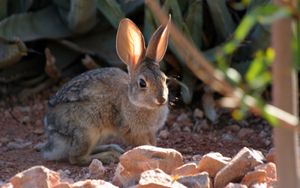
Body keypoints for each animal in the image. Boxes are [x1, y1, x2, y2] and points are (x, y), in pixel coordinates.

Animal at [39, 17, 171, 164]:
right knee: (75, 158)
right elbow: (143, 144)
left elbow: (152, 142)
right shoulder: (130, 130)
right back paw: (109, 156)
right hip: (87, 131)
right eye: (142, 83)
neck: (136, 102)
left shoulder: (150, 131)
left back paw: (113, 148)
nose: (161, 99)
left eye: (165, 79)